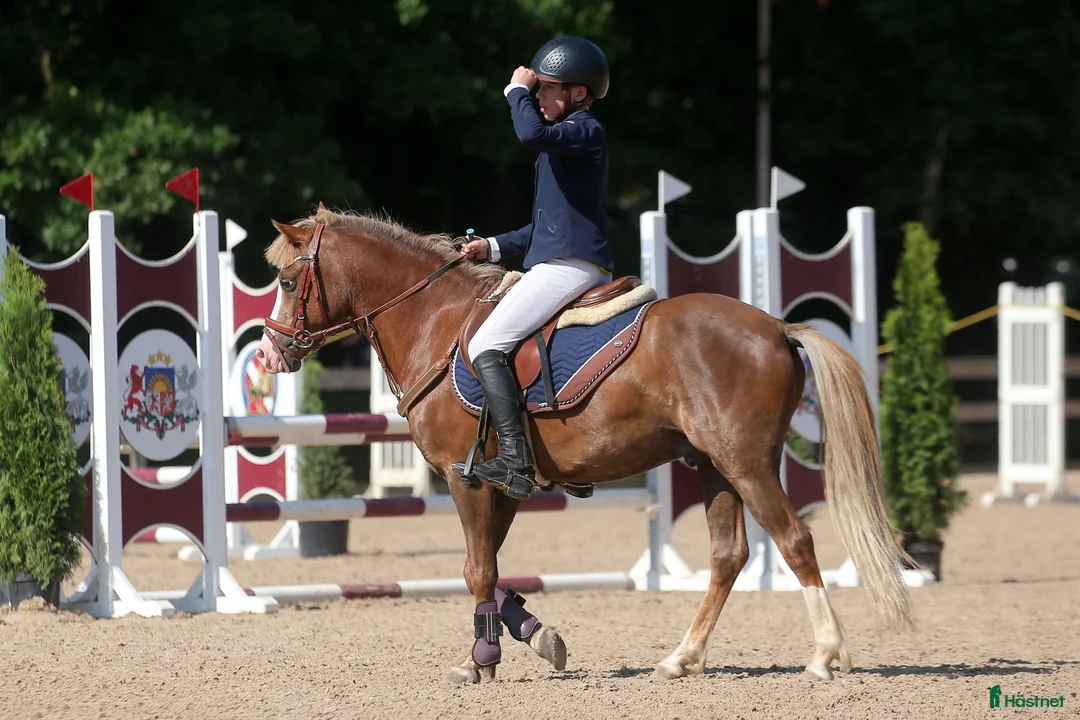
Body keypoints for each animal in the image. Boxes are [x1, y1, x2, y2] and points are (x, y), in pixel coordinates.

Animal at [254, 205, 916, 685]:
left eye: (287, 280)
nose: (269, 356)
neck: (432, 322)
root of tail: (777, 326)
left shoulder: (464, 476)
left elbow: (476, 567)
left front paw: (482, 661)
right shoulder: (503, 484)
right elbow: (490, 567)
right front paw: (528, 636)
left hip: (746, 462)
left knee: (795, 540)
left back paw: (825, 654)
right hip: (714, 467)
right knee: (729, 556)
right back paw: (682, 658)